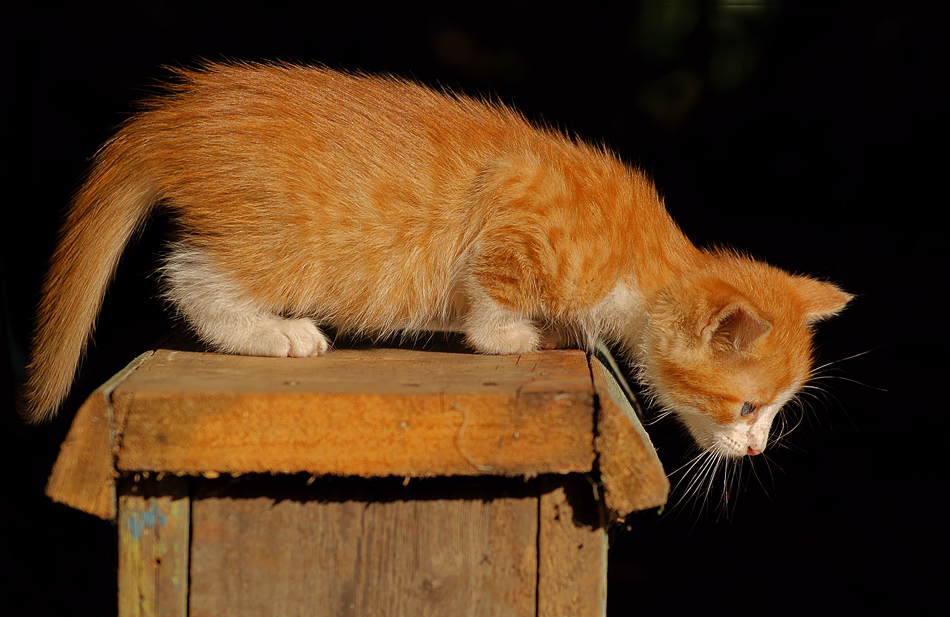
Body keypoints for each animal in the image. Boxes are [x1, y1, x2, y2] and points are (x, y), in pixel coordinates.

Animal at [24, 63, 856, 462]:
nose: (757, 445)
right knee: (191, 276)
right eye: (747, 407)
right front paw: (517, 335)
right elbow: (490, 300)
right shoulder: (513, 208)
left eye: (774, 411)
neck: (638, 259)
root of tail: (174, 116)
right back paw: (274, 333)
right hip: (291, 244)